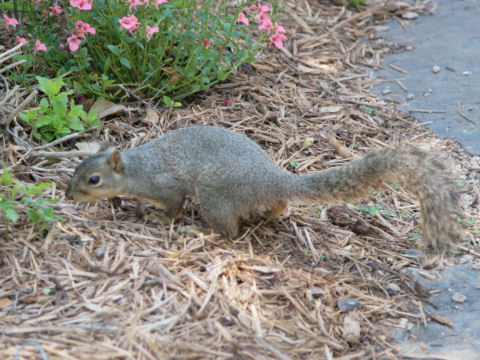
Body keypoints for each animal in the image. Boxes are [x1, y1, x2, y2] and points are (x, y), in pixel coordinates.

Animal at [65, 125, 464, 255]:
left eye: (94, 179)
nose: (69, 196)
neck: (136, 169)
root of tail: (273, 177)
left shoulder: (167, 185)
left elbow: (173, 205)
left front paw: (160, 219)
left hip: (214, 192)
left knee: (229, 232)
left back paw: (200, 231)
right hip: (257, 197)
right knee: (279, 205)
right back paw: (264, 212)